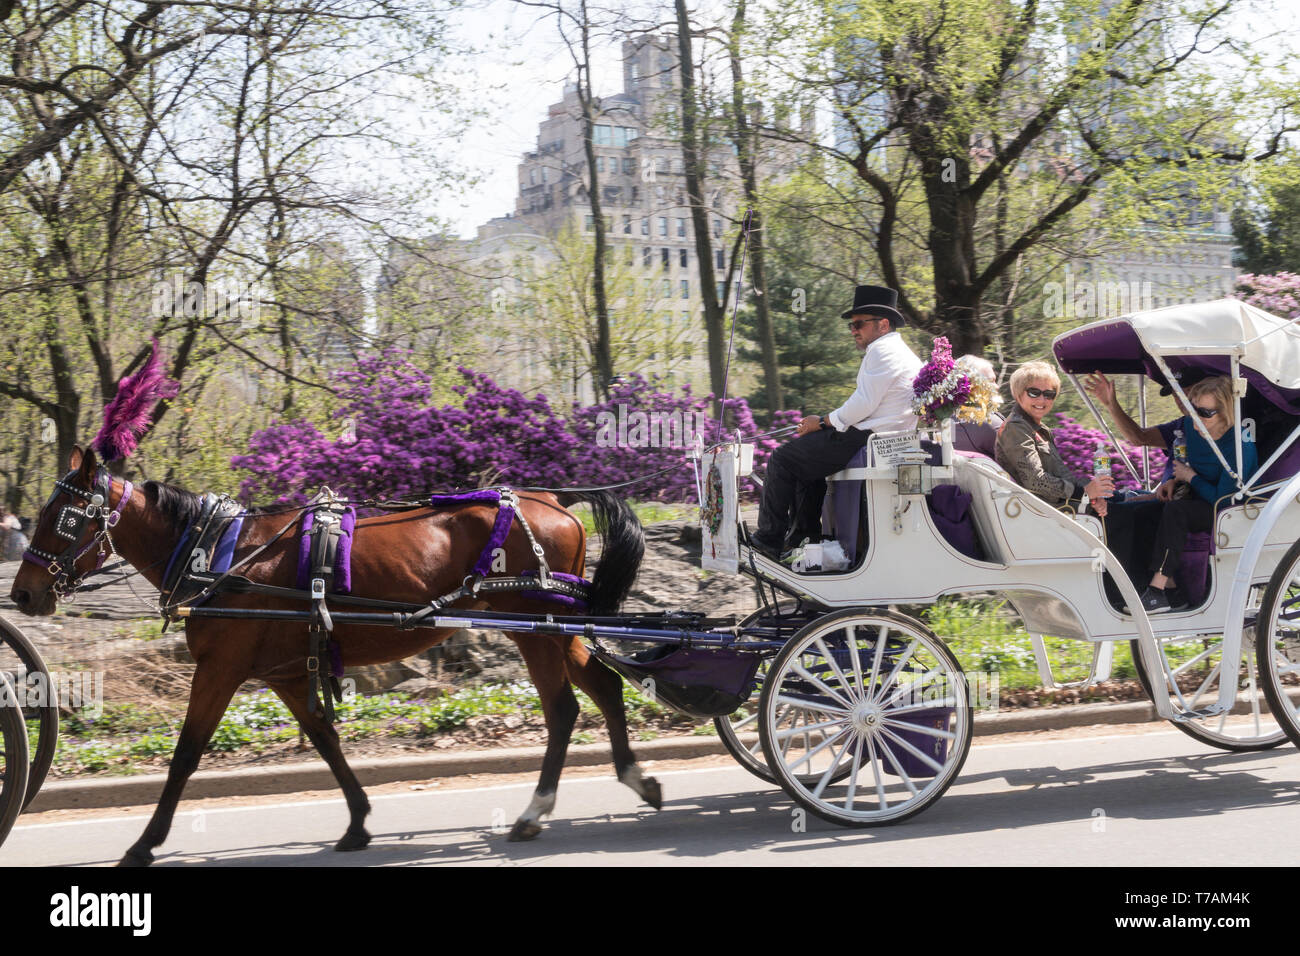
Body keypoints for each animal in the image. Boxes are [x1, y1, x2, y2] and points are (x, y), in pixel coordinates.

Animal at [10, 447, 660, 868]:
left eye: (62, 518)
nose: (23, 593)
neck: (218, 556)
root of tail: (553, 500)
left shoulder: (221, 669)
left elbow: (186, 754)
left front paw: (145, 843)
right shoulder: (283, 672)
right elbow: (325, 738)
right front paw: (357, 821)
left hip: (535, 628)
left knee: (563, 708)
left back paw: (535, 810)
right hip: (555, 627)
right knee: (602, 687)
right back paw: (636, 779)